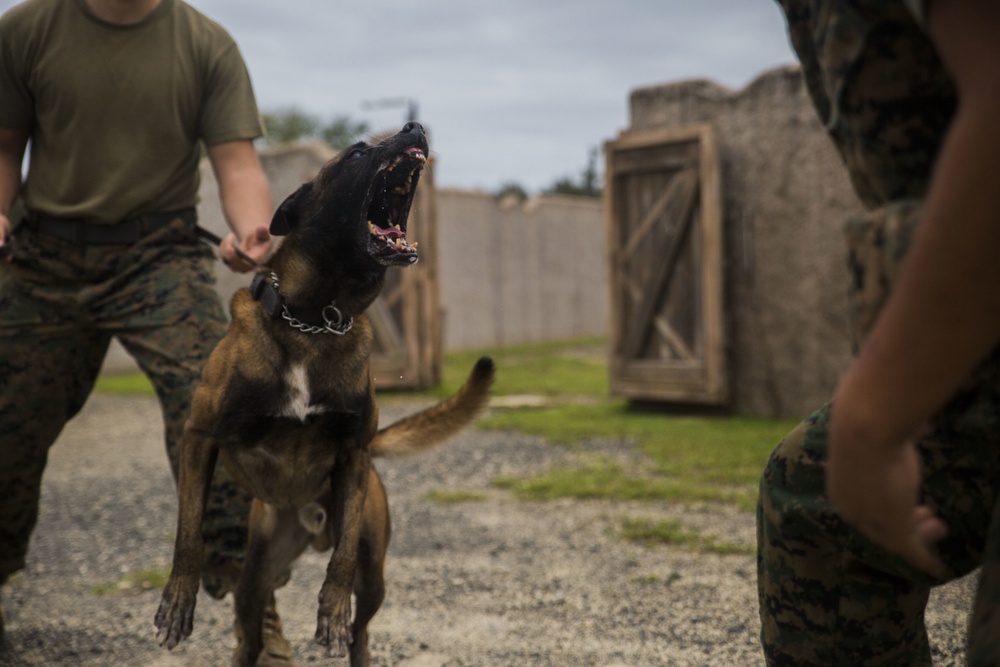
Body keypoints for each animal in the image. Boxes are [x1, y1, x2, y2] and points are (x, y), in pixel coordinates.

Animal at [154, 125, 494, 667]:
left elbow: (342, 564)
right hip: (256, 578)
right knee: (249, 633)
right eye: (356, 153)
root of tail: (308, 525)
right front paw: (177, 600)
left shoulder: (354, 452)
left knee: (362, 629)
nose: (415, 127)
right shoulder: (199, 436)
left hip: (374, 572)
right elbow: (189, 531)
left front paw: (332, 611)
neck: (314, 318)